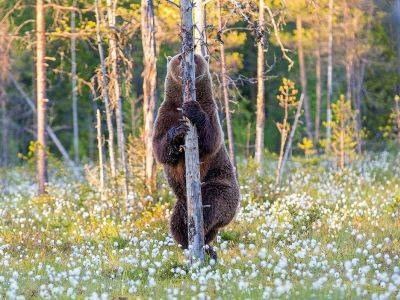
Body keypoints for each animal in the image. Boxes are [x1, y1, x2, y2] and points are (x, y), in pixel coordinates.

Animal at [152, 52, 241, 258]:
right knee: (176, 222)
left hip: (221, 189)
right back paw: (193, 243)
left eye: (196, 56)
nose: (185, 60)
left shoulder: (210, 109)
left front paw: (192, 110)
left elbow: (211, 139)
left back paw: (203, 242)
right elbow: (159, 147)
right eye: (178, 56)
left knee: (210, 207)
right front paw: (177, 133)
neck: (180, 101)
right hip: (182, 201)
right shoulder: (165, 113)